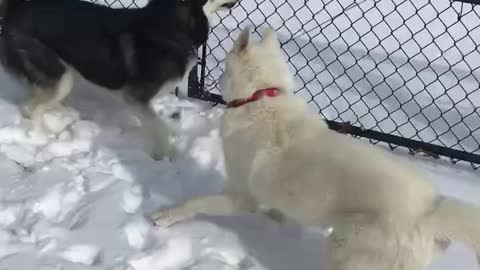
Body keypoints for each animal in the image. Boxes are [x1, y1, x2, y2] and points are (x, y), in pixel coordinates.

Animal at [152, 27, 480, 270]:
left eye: (223, 68)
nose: (202, 67)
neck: (262, 97)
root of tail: (431, 208)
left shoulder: (241, 198)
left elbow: (196, 203)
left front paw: (165, 216)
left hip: (345, 251)